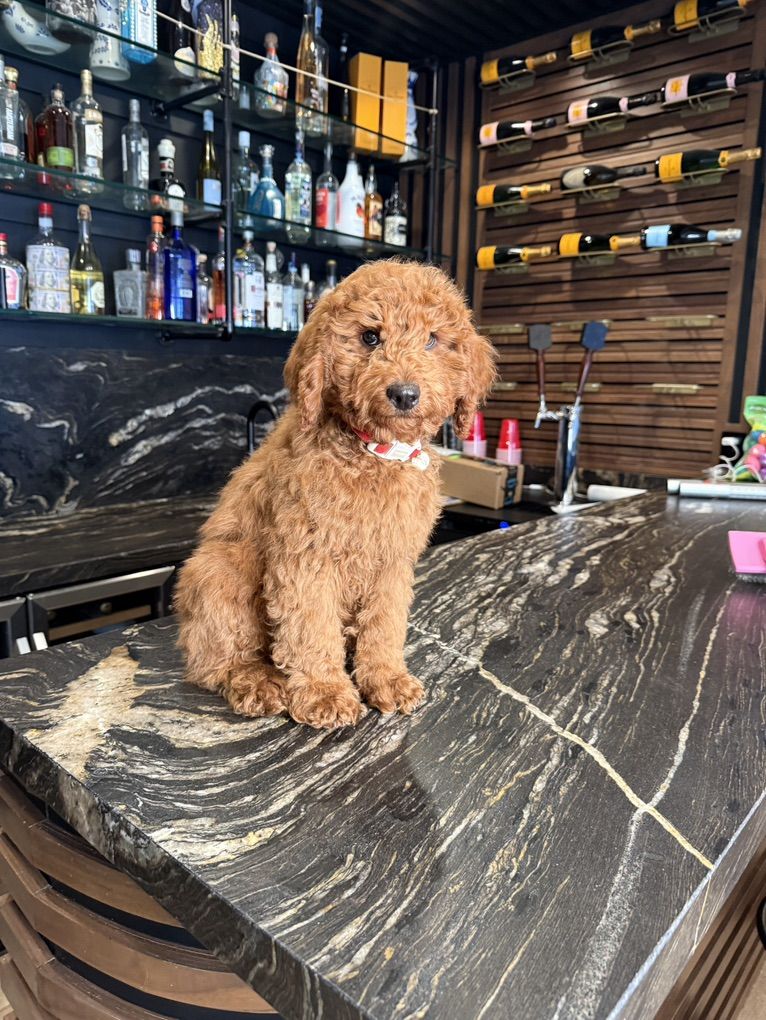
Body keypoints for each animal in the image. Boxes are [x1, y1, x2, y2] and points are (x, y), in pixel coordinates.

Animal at [174, 260, 495, 729]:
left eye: (433, 340)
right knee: (214, 662)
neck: (374, 454)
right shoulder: (305, 557)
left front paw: (386, 678)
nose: (404, 394)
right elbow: (310, 626)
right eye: (370, 337)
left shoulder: (392, 561)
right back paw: (256, 681)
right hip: (219, 568)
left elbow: (384, 623)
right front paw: (325, 692)